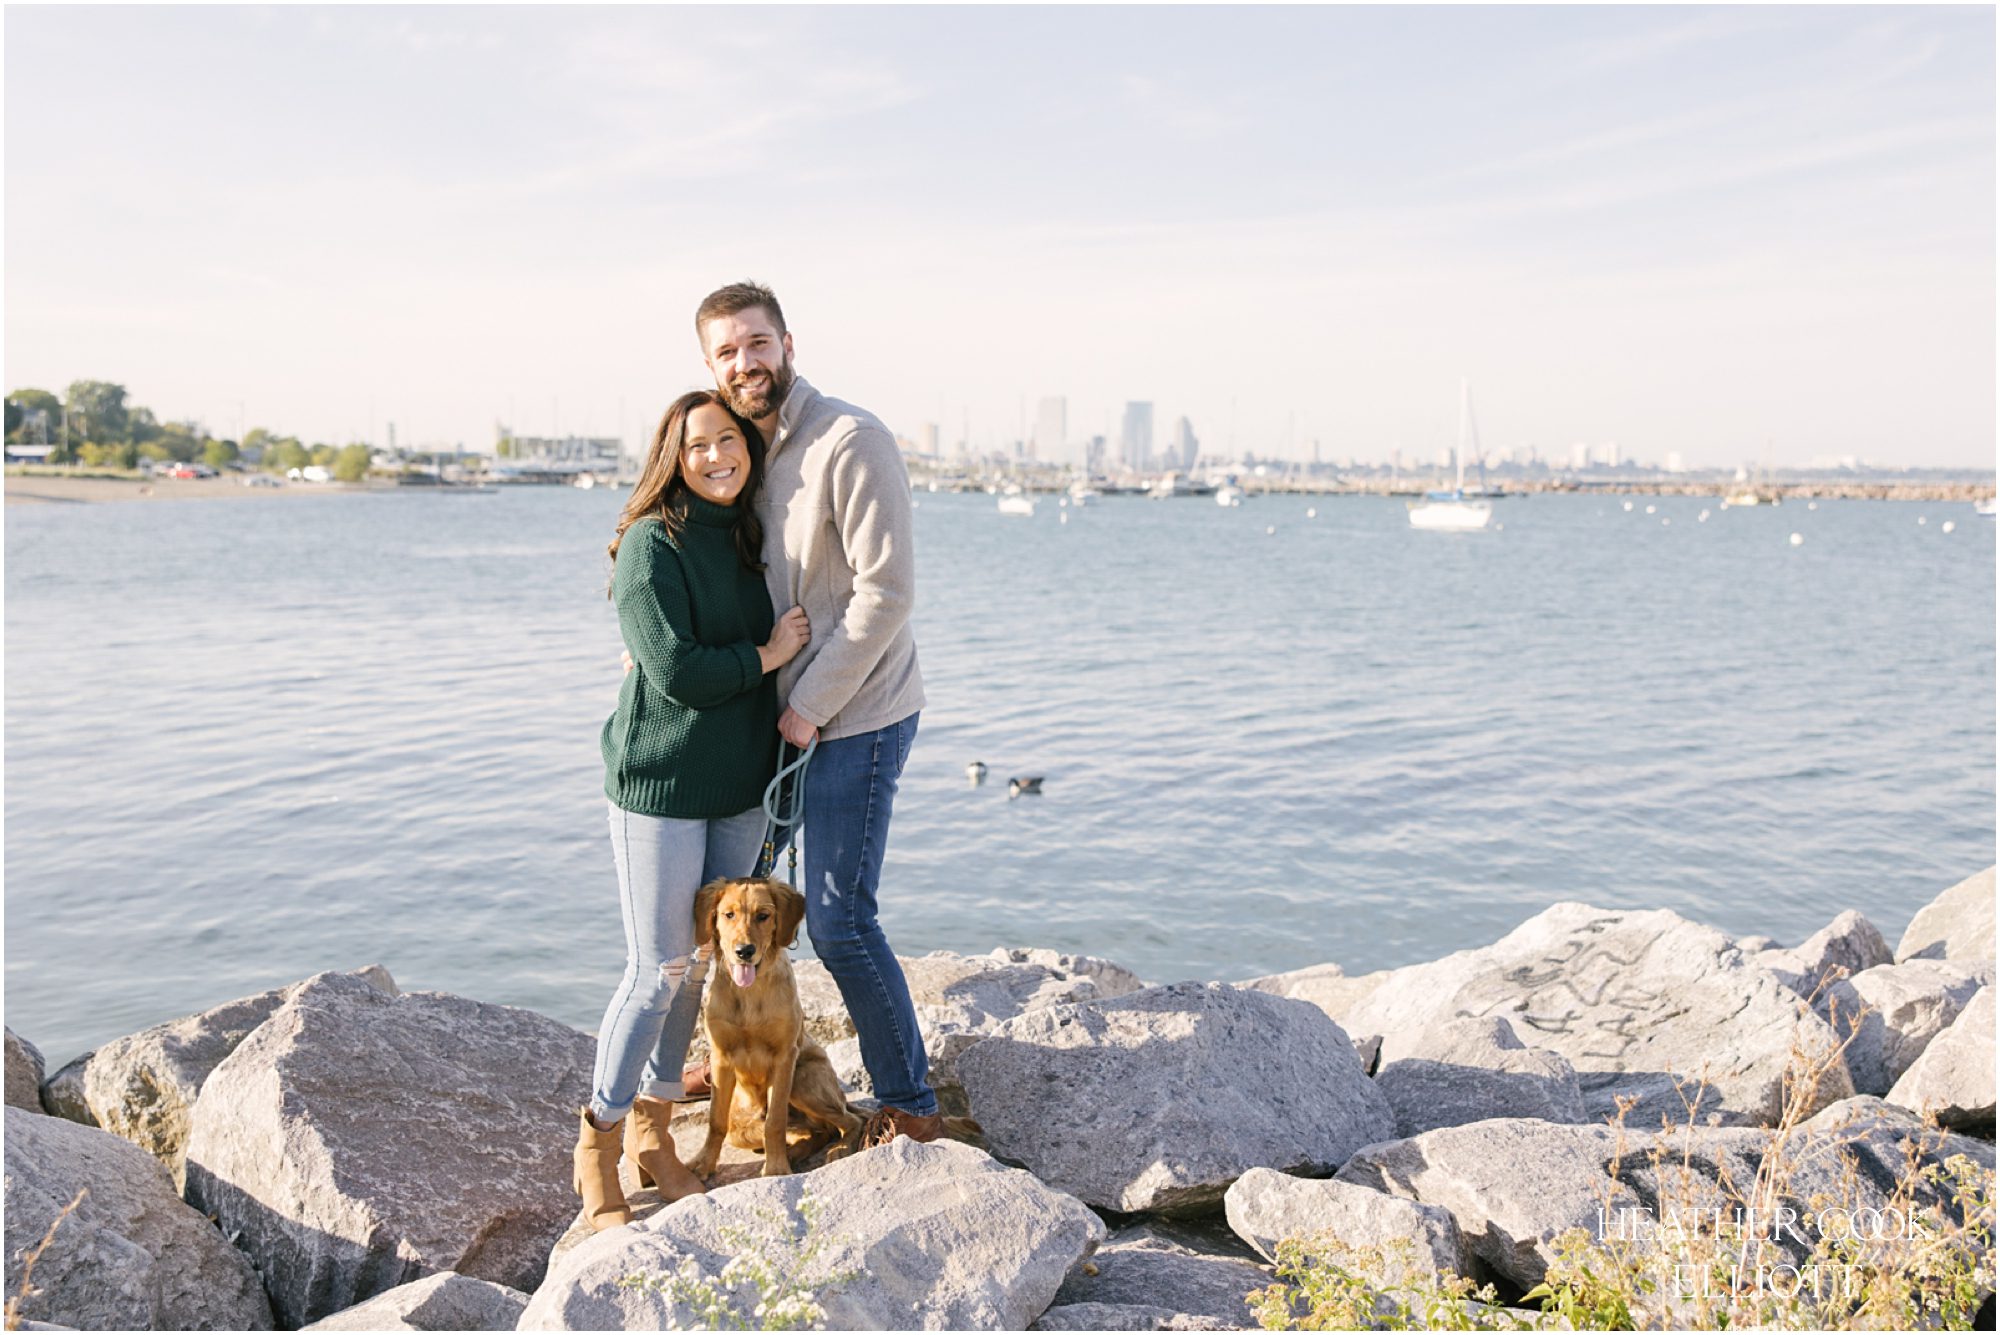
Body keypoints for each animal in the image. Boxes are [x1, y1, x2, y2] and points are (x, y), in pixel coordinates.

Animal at [689, 876, 864, 1179]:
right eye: (728, 914)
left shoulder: (784, 1058)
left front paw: (777, 1168)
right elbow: (715, 1121)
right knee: (814, 1131)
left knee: (847, 1122)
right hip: (743, 1120)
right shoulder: (721, 1057)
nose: (744, 952)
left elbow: (775, 1121)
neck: (749, 992)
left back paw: (836, 1149)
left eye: (763, 915)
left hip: (804, 1080)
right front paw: (703, 1164)